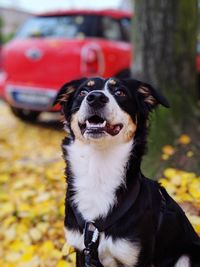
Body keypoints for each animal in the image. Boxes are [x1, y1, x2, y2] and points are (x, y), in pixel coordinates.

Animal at [54, 77, 200, 267]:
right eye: (83, 92)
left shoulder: (136, 255)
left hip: (186, 256)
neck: (99, 167)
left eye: (120, 92)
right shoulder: (81, 250)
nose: (95, 98)